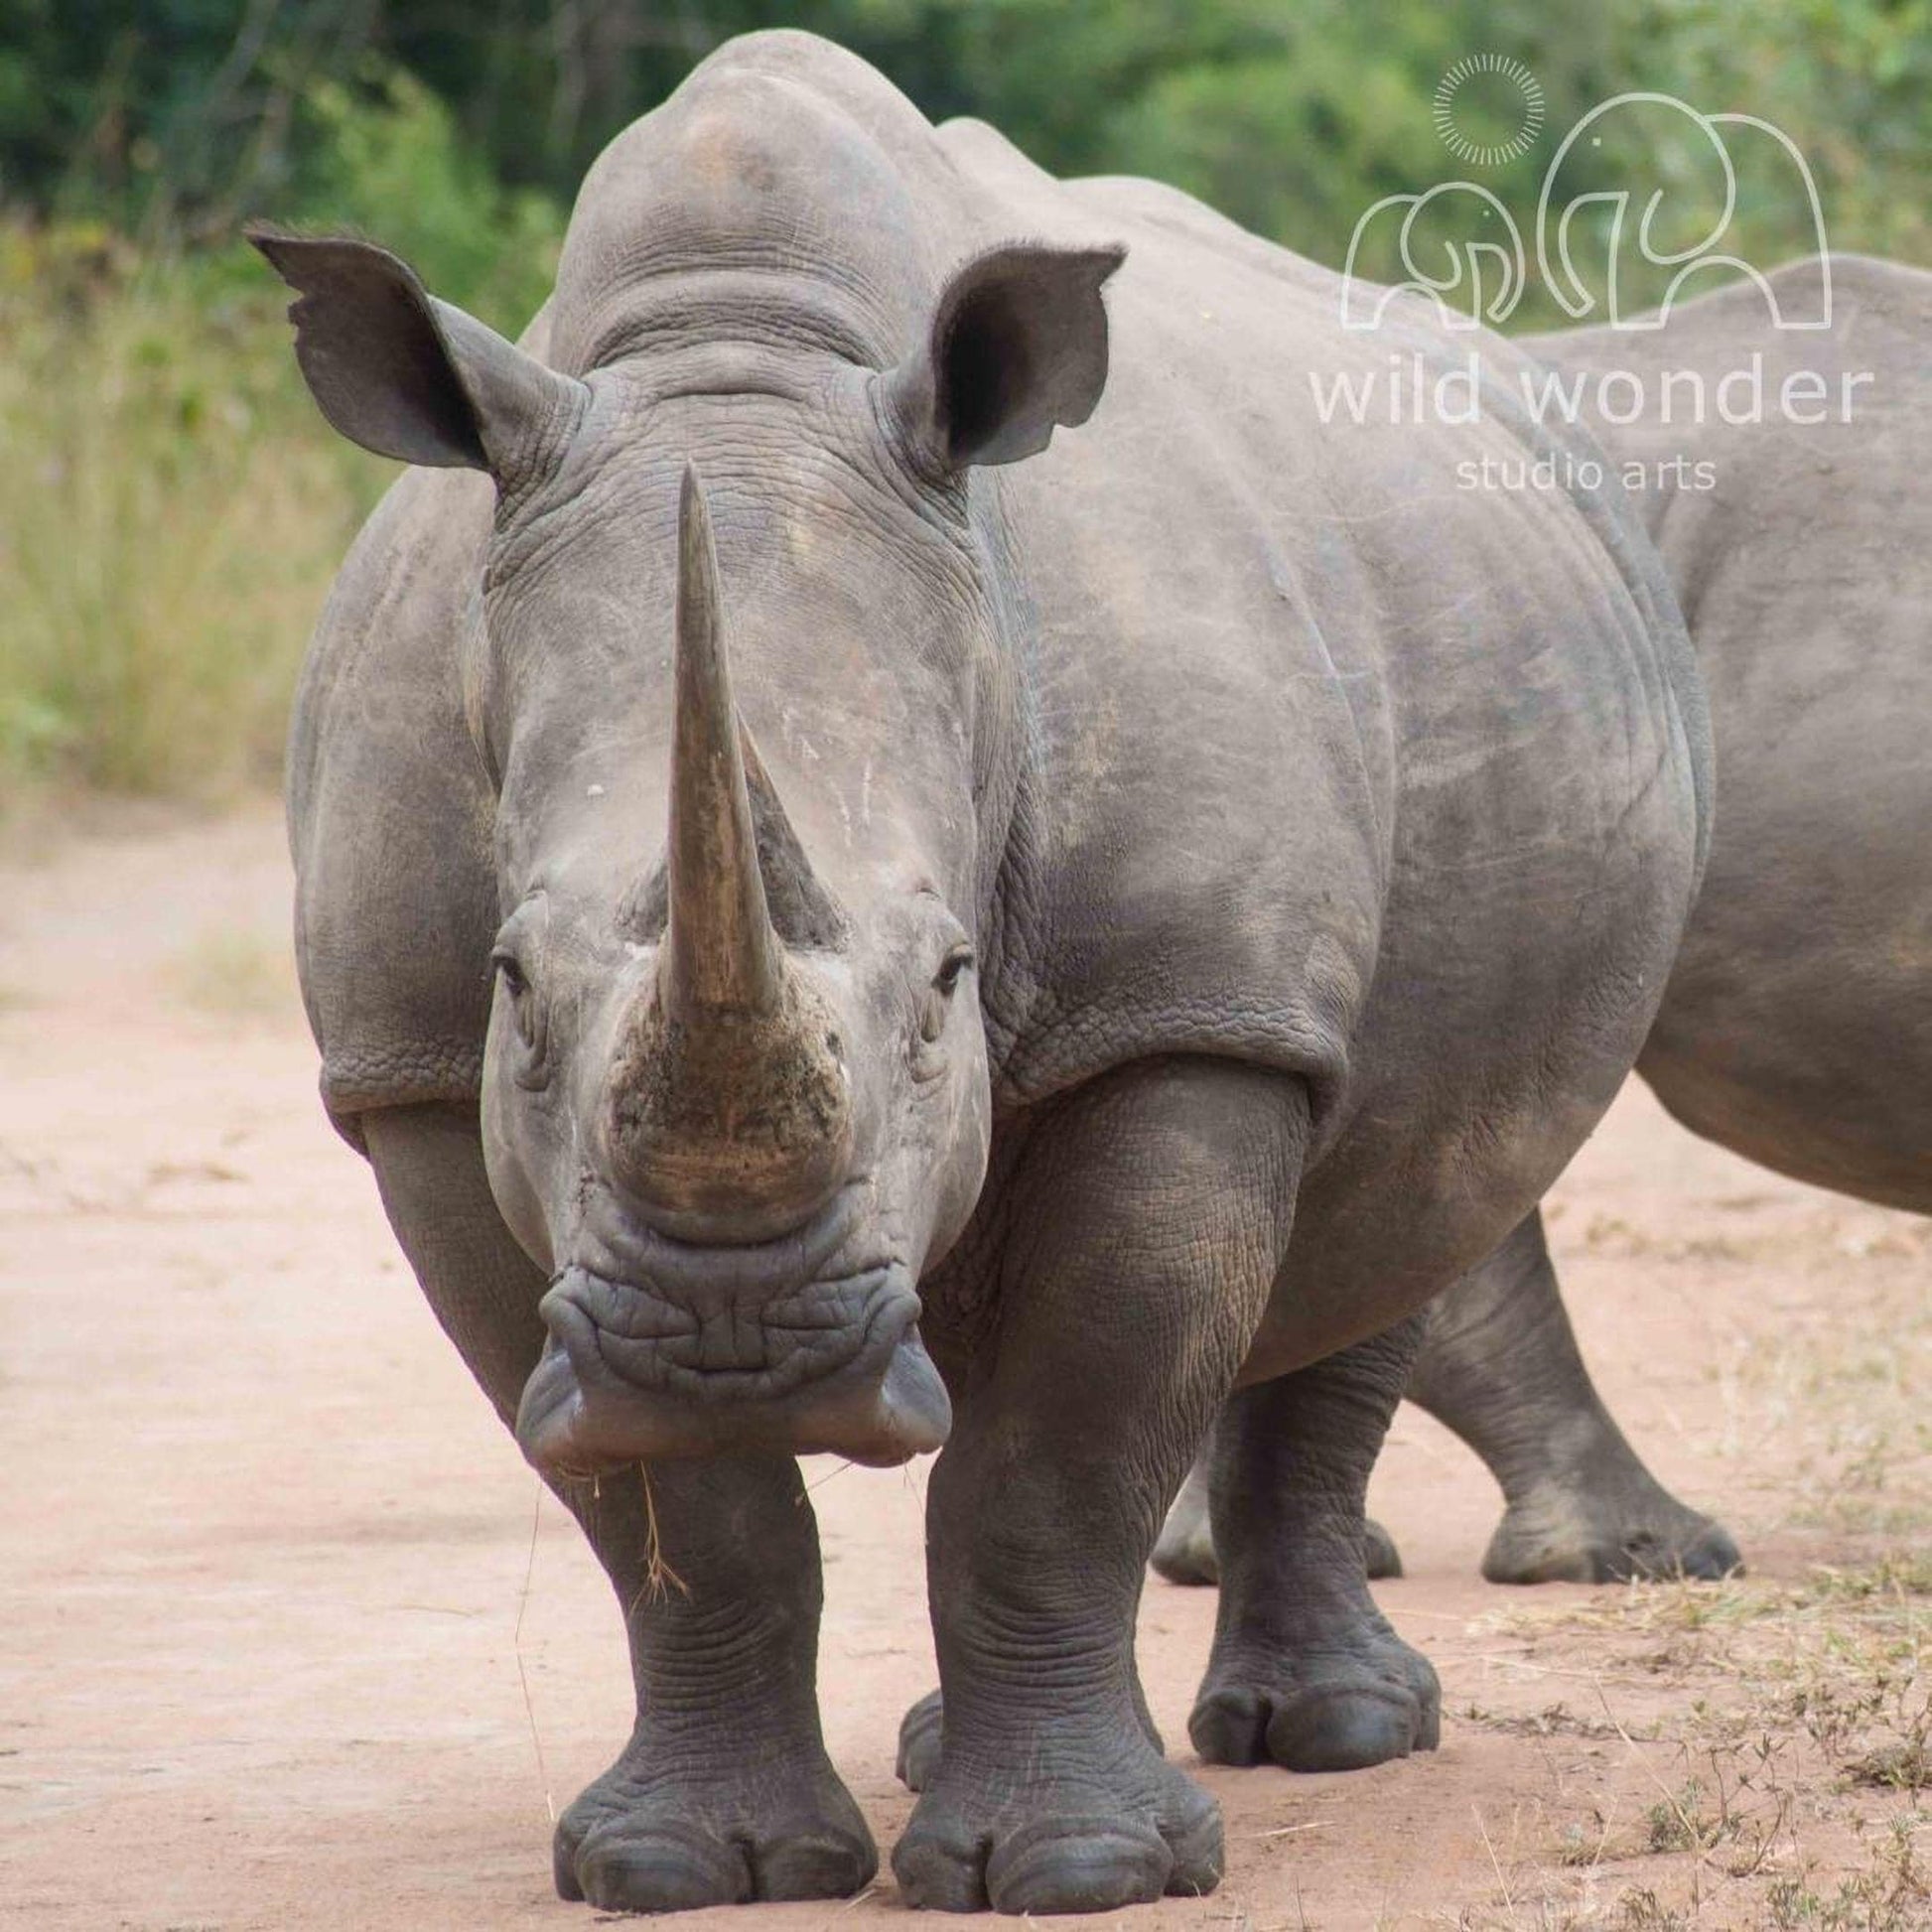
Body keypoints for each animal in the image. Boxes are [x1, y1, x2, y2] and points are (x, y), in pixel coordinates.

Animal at [262, 31, 1708, 1916]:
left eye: (951, 982)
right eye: (514, 985)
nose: (734, 1339)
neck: (744, 369)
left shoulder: (1184, 1011)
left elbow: (1062, 1453)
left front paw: (1081, 1867)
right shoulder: (414, 1075)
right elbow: (676, 1514)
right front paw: (680, 1864)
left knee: (1399, 1184)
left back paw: (1334, 1736)